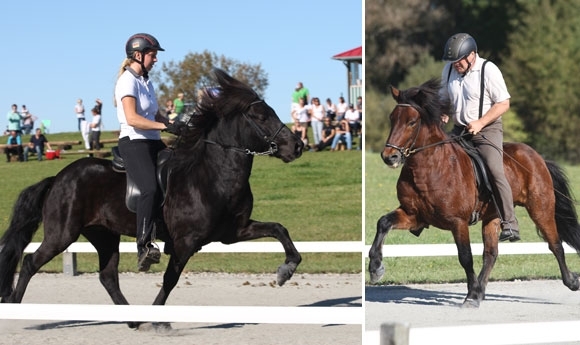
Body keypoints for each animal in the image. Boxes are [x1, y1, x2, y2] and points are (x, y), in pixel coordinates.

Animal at [0, 68, 306, 326]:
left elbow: (279, 229)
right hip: (62, 233)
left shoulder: (233, 232)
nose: (298, 146)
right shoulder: (185, 243)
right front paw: (159, 319)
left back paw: (133, 319)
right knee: (30, 262)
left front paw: (286, 270)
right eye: (261, 117)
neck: (214, 176)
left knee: (108, 276)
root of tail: (58, 178)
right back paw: (14, 306)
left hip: (103, 234)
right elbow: (170, 280)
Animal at [370, 78, 580, 306]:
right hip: (493, 216)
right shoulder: (414, 215)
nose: (389, 157)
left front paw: (470, 296)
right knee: (491, 254)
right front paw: (375, 267)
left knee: (555, 244)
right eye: (392, 118)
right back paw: (480, 290)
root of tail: (537, 157)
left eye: (412, 122)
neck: (429, 167)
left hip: (540, 209)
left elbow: (465, 256)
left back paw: (571, 281)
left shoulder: (457, 222)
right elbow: (383, 222)